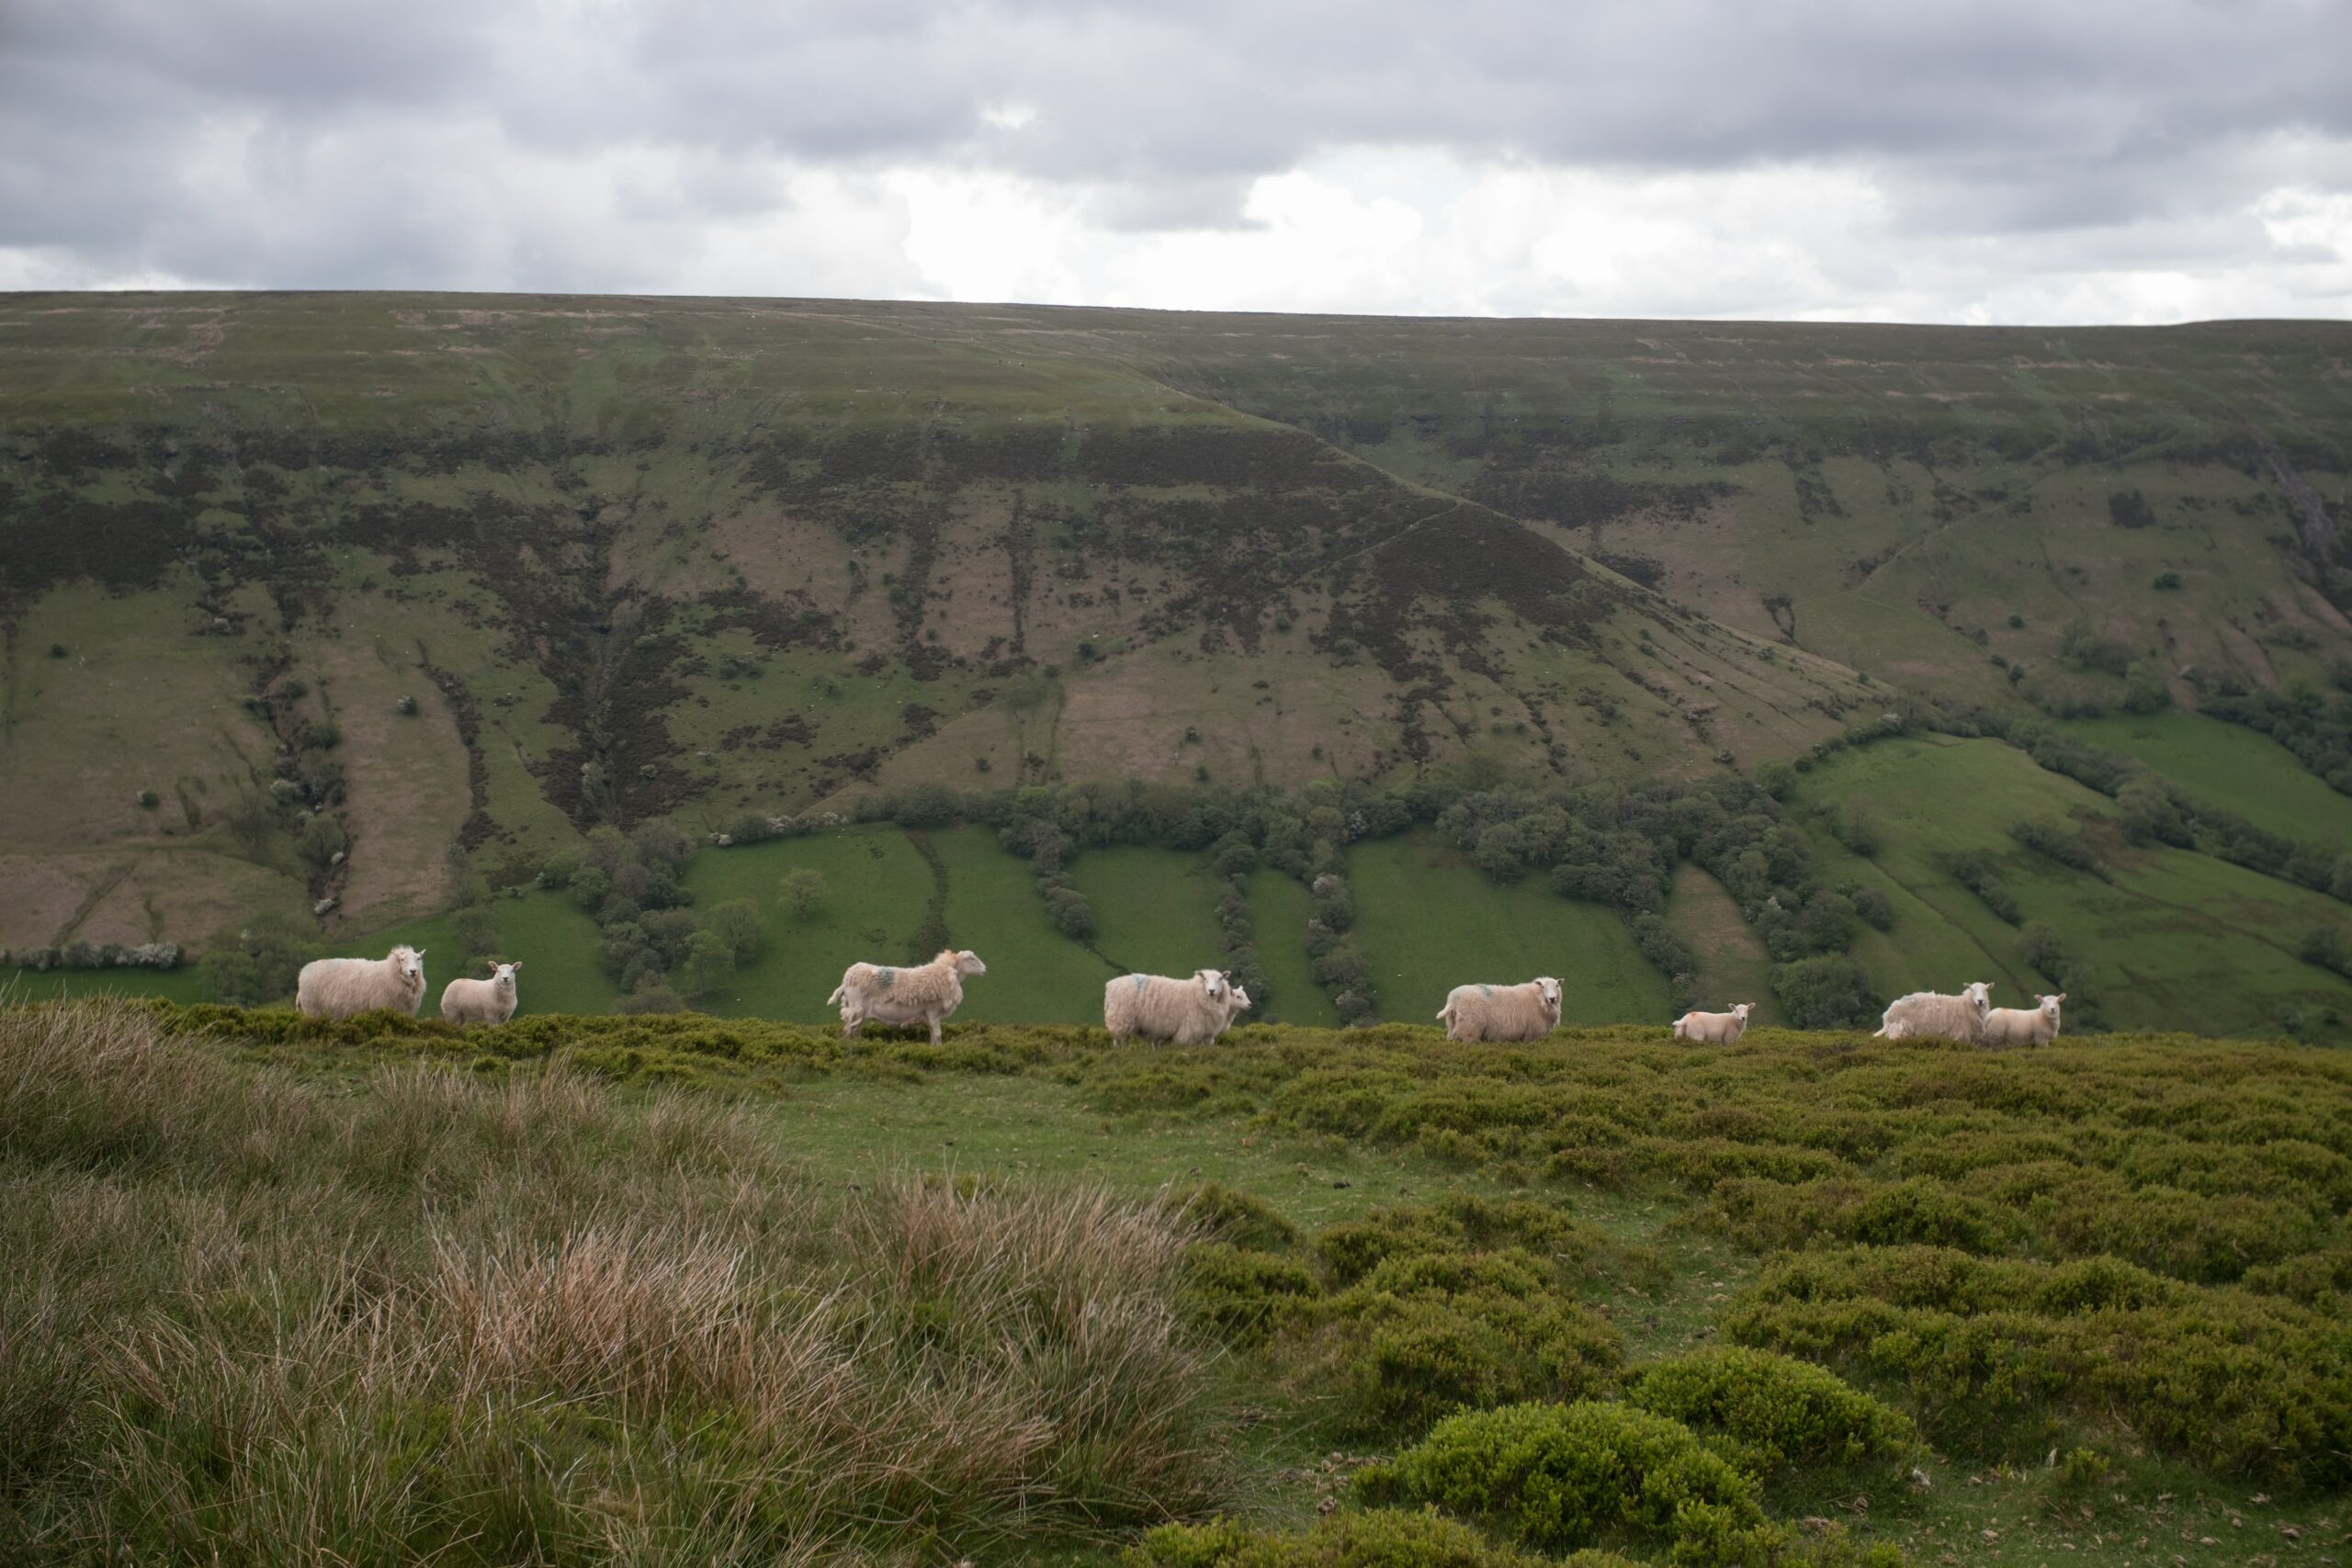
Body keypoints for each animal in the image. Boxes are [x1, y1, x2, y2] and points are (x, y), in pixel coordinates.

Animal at [296, 944, 430, 1020]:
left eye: (418, 958)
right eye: (402, 960)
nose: (413, 971)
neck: (390, 973)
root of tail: (304, 970)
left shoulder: (405, 1013)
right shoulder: (381, 1007)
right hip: (312, 1010)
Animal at [828, 949, 983, 1048]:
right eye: (971, 958)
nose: (984, 969)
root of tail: (846, 980)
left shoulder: (929, 1016)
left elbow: (933, 1036)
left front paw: (933, 1050)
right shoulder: (933, 1012)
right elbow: (938, 1035)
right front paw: (939, 1051)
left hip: (858, 1011)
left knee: (855, 1031)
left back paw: (860, 1046)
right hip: (856, 1007)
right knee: (848, 1031)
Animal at [1101, 964, 1250, 1048]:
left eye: (1220, 979)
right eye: (1204, 979)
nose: (1212, 991)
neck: (1197, 994)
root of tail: (1110, 984)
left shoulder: (1207, 1035)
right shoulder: (1188, 1031)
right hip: (1120, 1019)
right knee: (1119, 1040)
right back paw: (1122, 1052)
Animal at [1430, 982, 1561, 1043]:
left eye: (1557, 985)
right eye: (1543, 986)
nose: (1552, 998)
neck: (1537, 998)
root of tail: (1453, 1000)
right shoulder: (1531, 1035)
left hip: (1452, 1025)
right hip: (1469, 1030)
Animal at [1862, 982, 1994, 1043]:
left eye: (1986, 990)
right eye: (1972, 989)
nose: (1980, 1001)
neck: (1966, 1004)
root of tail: (1888, 1014)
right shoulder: (1961, 1036)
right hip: (1899, 1030)